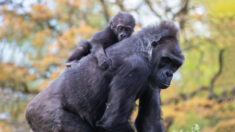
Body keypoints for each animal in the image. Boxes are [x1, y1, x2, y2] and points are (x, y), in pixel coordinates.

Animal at [25, 21, 184, 131]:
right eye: (166, 60)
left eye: (175, 65)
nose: (169, 74)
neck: (146, 52)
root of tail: (29, 109)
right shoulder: (135, 67)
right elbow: (114, 121)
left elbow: (149, 121)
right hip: (44, 115)